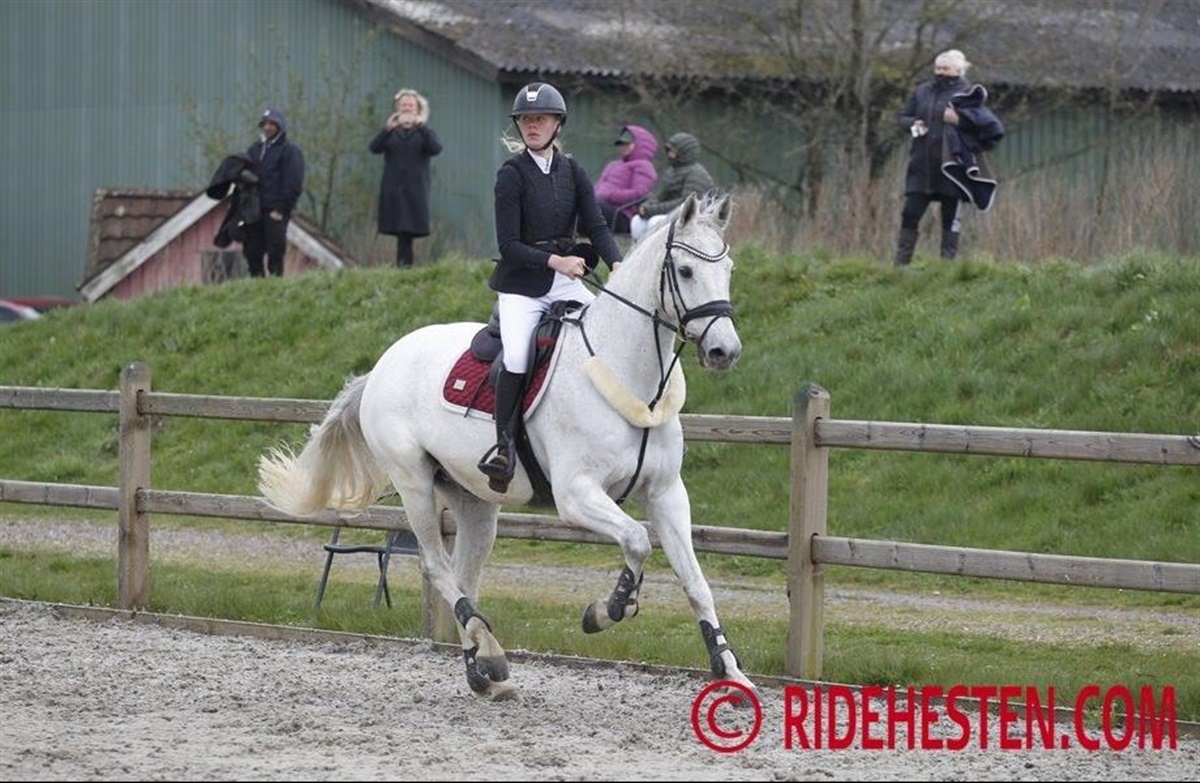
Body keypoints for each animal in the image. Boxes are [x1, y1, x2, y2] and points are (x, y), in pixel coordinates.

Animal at [259, 192, 753, 701]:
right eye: (686, 271)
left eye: (728, 268)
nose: (725, 351)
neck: (628, 374)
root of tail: (382, 365)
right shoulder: (576, 494)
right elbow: (636, 539)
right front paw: (607, 610)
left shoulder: (666, 493)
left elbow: (695, 580)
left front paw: (730, 672)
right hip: (413, 482)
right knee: (437, 566)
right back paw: (491, 654)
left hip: (473, 499)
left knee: (464, 574)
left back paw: (482, 671)